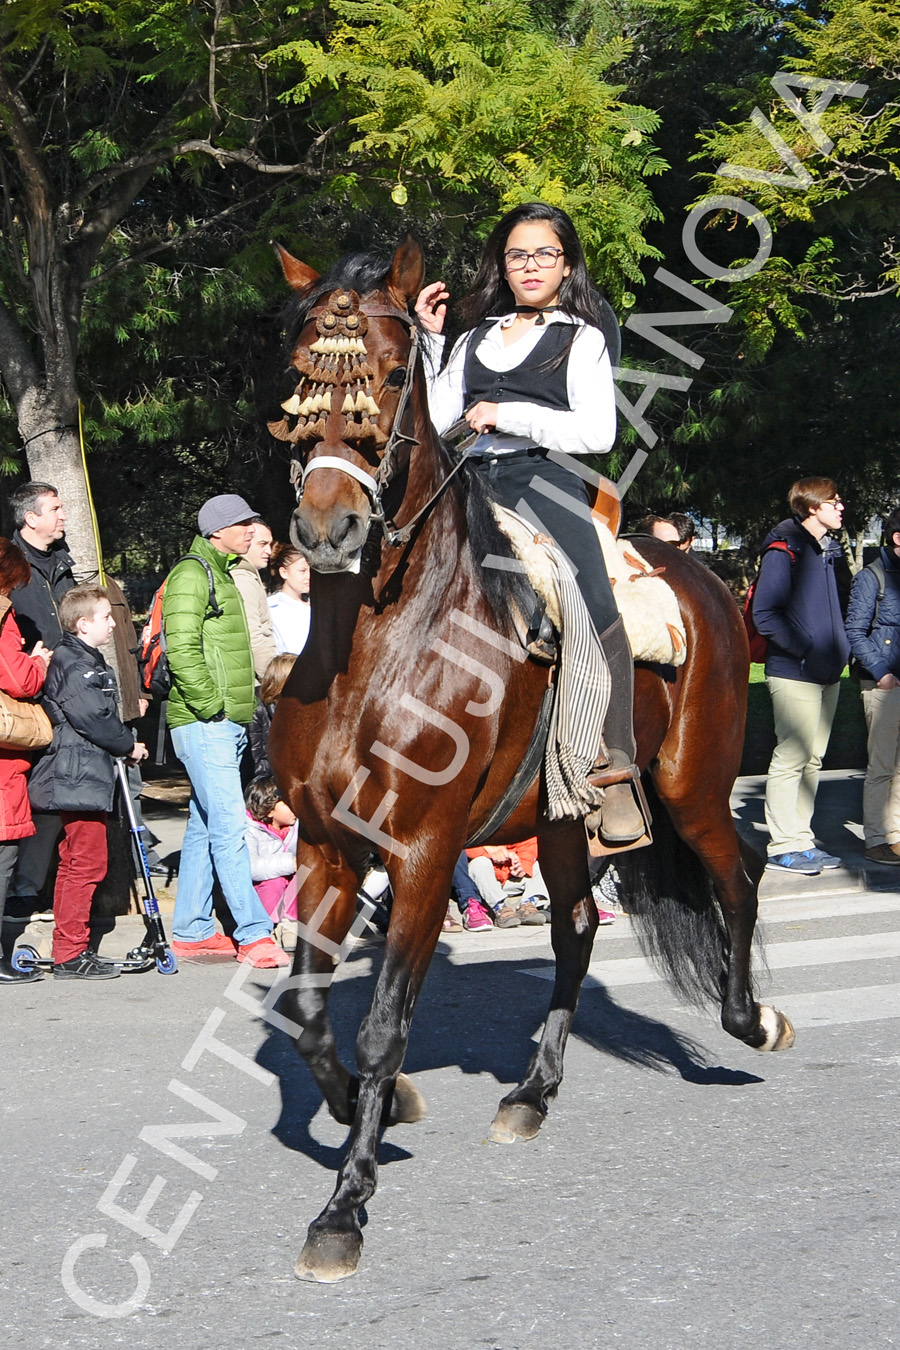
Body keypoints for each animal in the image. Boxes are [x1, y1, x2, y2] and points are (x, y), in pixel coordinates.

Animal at [269, 237, 793, 1279]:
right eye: (303, 377)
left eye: (392, 375)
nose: (326, 531)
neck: (376, 644)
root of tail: (709, 579)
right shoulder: (326, 847)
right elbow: (307, 1012)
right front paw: (371, 1111)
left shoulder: (423, 854)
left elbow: (384, 1026)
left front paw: (345, 1207)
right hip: (560, 819)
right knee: (578, 928)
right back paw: (531, 1093)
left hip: (691, 789)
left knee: (740, 875)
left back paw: (751, 1020)